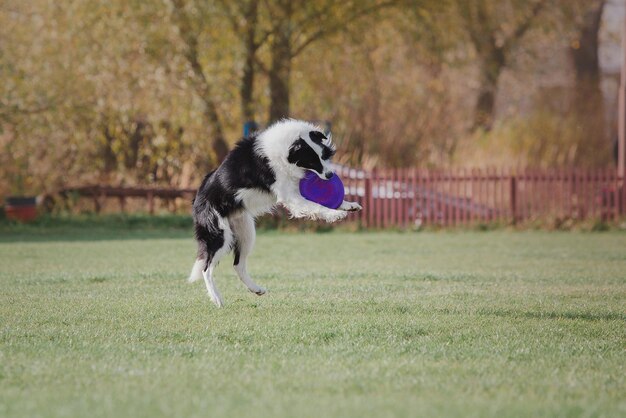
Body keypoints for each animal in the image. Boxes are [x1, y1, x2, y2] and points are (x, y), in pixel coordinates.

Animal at [188, 118, 358, 306]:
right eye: (312, 162)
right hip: (220, 234)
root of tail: (198, 198)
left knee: (238, 265)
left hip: (246, 232)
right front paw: (335, 215)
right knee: (207, 269)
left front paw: (349, 205)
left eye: (323, 156)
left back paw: (256, 289)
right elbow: (316, 206)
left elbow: (321, 202)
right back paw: (217, 298)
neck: (287, 146)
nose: (330, 175)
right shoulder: (290, 196)